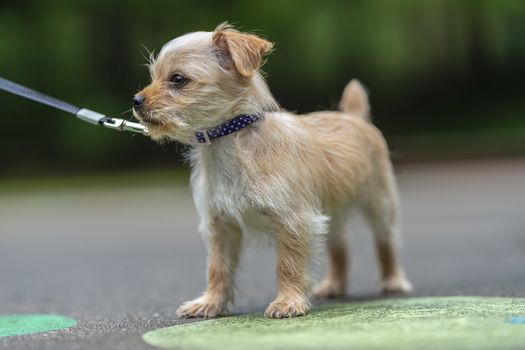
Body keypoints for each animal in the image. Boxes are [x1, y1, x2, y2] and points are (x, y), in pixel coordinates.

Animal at [133, 23, 412, 318]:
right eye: (153, 76)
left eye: (178, 79)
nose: (136, 100)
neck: (231, 139)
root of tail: (354, 117)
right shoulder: (221, 226)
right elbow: (218, 268)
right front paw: (210, 303)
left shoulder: (294, 220)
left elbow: (287, 265)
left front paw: (288, 302)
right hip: (331, 211)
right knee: (340, 245)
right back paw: (334, 285)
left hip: (380, 204)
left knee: (386, 242)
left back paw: (393, 281)